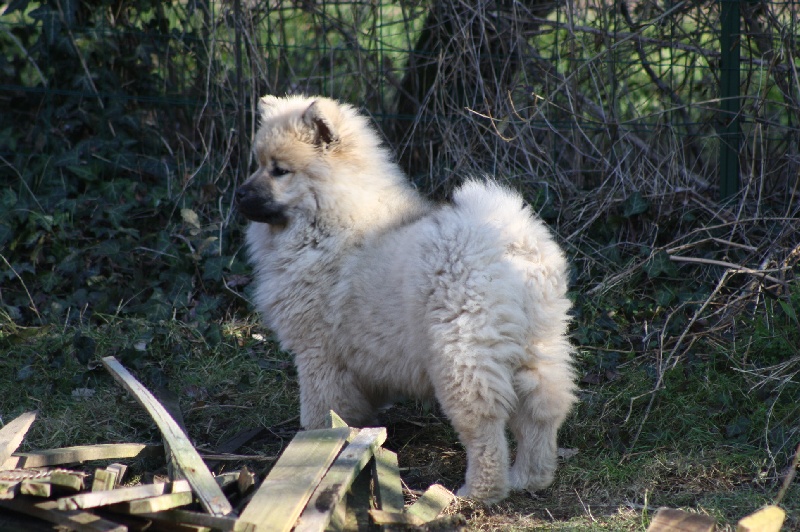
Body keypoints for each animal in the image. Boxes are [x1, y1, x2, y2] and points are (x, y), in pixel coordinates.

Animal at [236, 95, 576, 502]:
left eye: (279, 171)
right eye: (256, 164)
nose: (238, 194)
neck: (329, 218)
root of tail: (511, 242)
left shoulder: (318, 353)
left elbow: (319, 408)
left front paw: (316, 444)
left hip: (460, 354)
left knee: (484, 424)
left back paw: (478, 491)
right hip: (539, 345)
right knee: (542, 411)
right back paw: (531, 477)